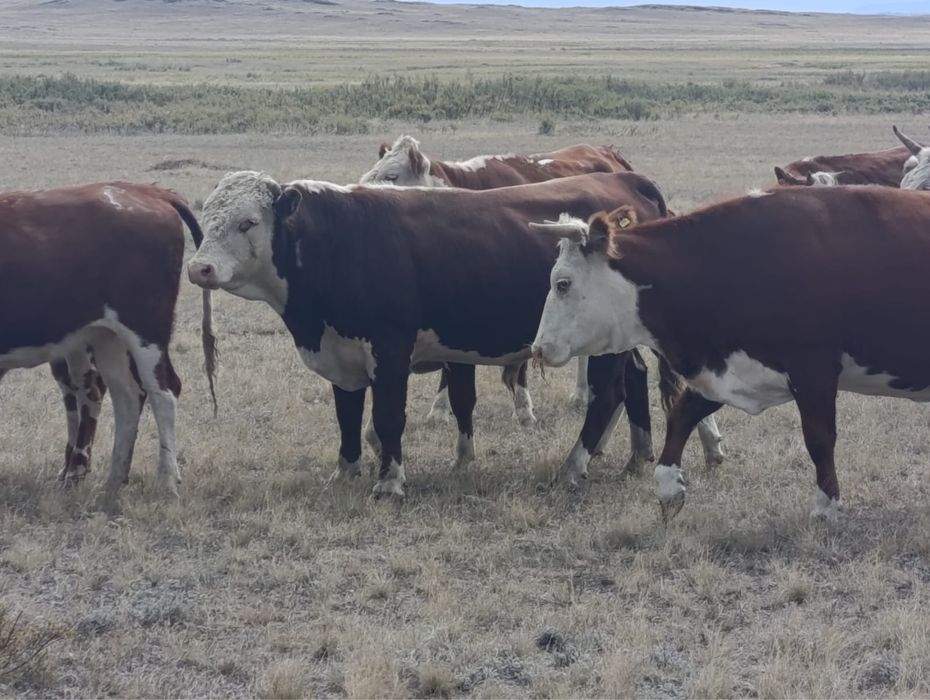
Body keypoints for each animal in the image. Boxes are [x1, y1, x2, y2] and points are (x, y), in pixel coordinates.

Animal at [0, 182, 216, 497]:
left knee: (163, 394)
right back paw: (114, 478)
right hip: (107, 338)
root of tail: (147, 192)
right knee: (125, 397)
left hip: (145, 330)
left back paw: (166, 479)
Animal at [187, 170, 723, 497]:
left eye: (248, 222)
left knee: (608, 392)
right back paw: (636, 455)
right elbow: (348, 416)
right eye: (206, 221)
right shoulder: (342, 354)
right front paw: (345, 470)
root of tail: (622, 177)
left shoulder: (390, 348)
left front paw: (390, 482)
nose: (199, 268)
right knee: (632, 379)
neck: (340, 241)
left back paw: (575, 465)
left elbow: (387, 418)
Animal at [529, 186, 930, 522]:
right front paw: (669, 487)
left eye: (562, 284)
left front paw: (826, 506)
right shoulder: (732, 368)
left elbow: (819, 438)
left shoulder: (813, 372)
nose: (538, 348)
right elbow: (682, 414)